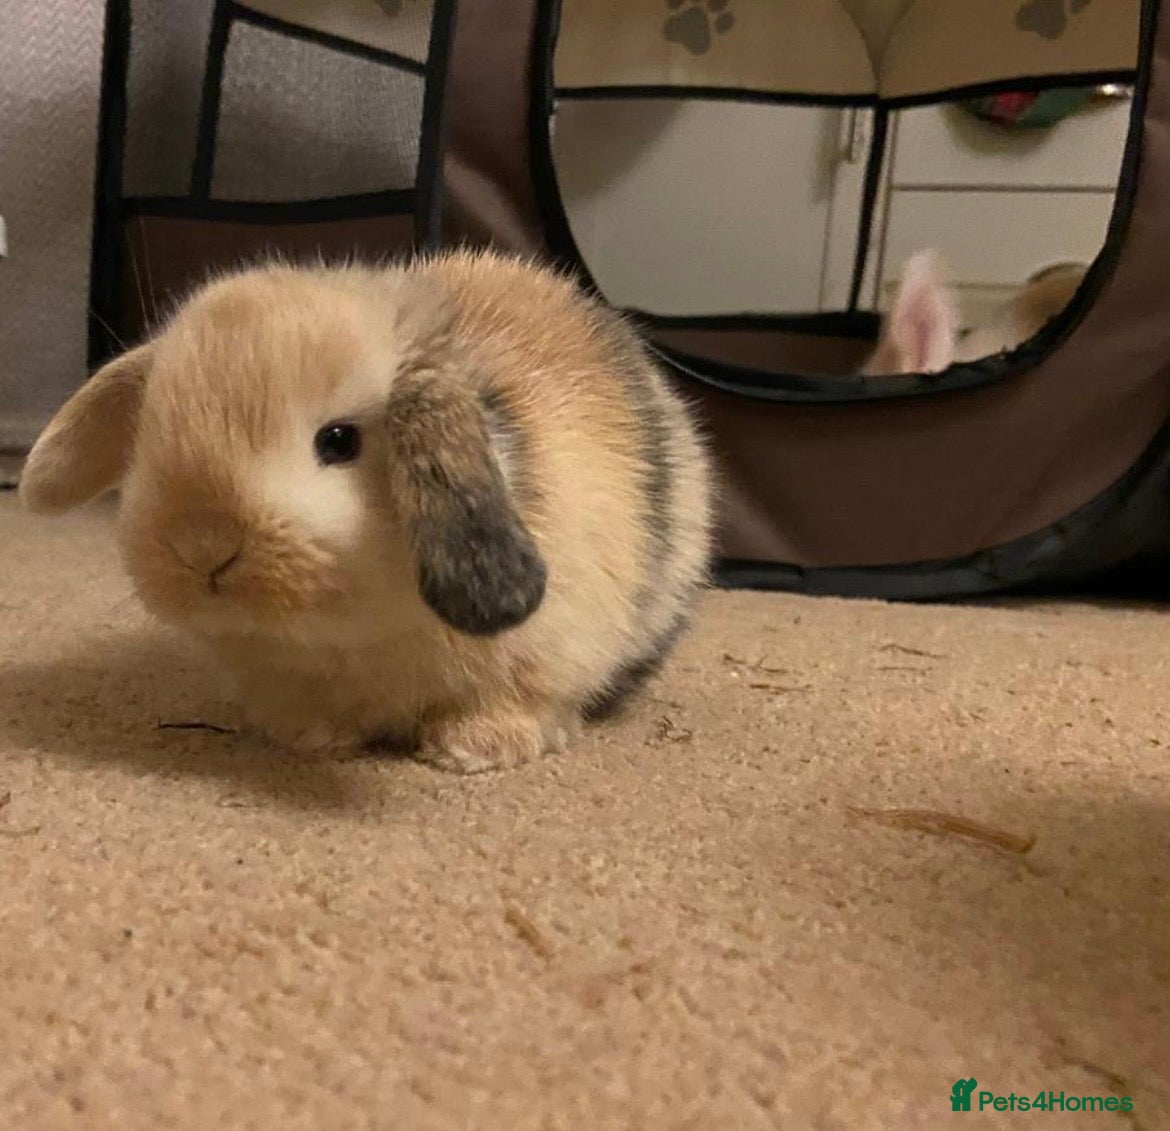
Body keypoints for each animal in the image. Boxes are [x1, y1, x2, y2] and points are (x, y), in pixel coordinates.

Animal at [19, 249, 714, 773]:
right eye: (148, 433)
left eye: (338, 441)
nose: (203, 547)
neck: (355, 633)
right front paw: (309, 737)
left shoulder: (551, 655)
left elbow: (521, 699)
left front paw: (475, 748)